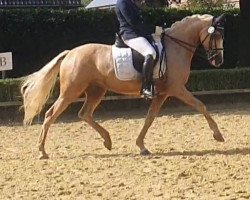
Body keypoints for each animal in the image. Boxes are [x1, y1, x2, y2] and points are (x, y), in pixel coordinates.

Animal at [21, 13, 225, 159]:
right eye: (216, 35)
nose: (218, 61)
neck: (175, 48)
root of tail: (71, 53)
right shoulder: (177, 89)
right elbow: (201, 105)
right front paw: (218, 135)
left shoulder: (162, 94)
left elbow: (150, 118)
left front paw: (141, 146)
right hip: (71, 92)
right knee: (50, 115)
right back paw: (42, 151)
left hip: (96, 90)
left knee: (84, 114)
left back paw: (107, 141)